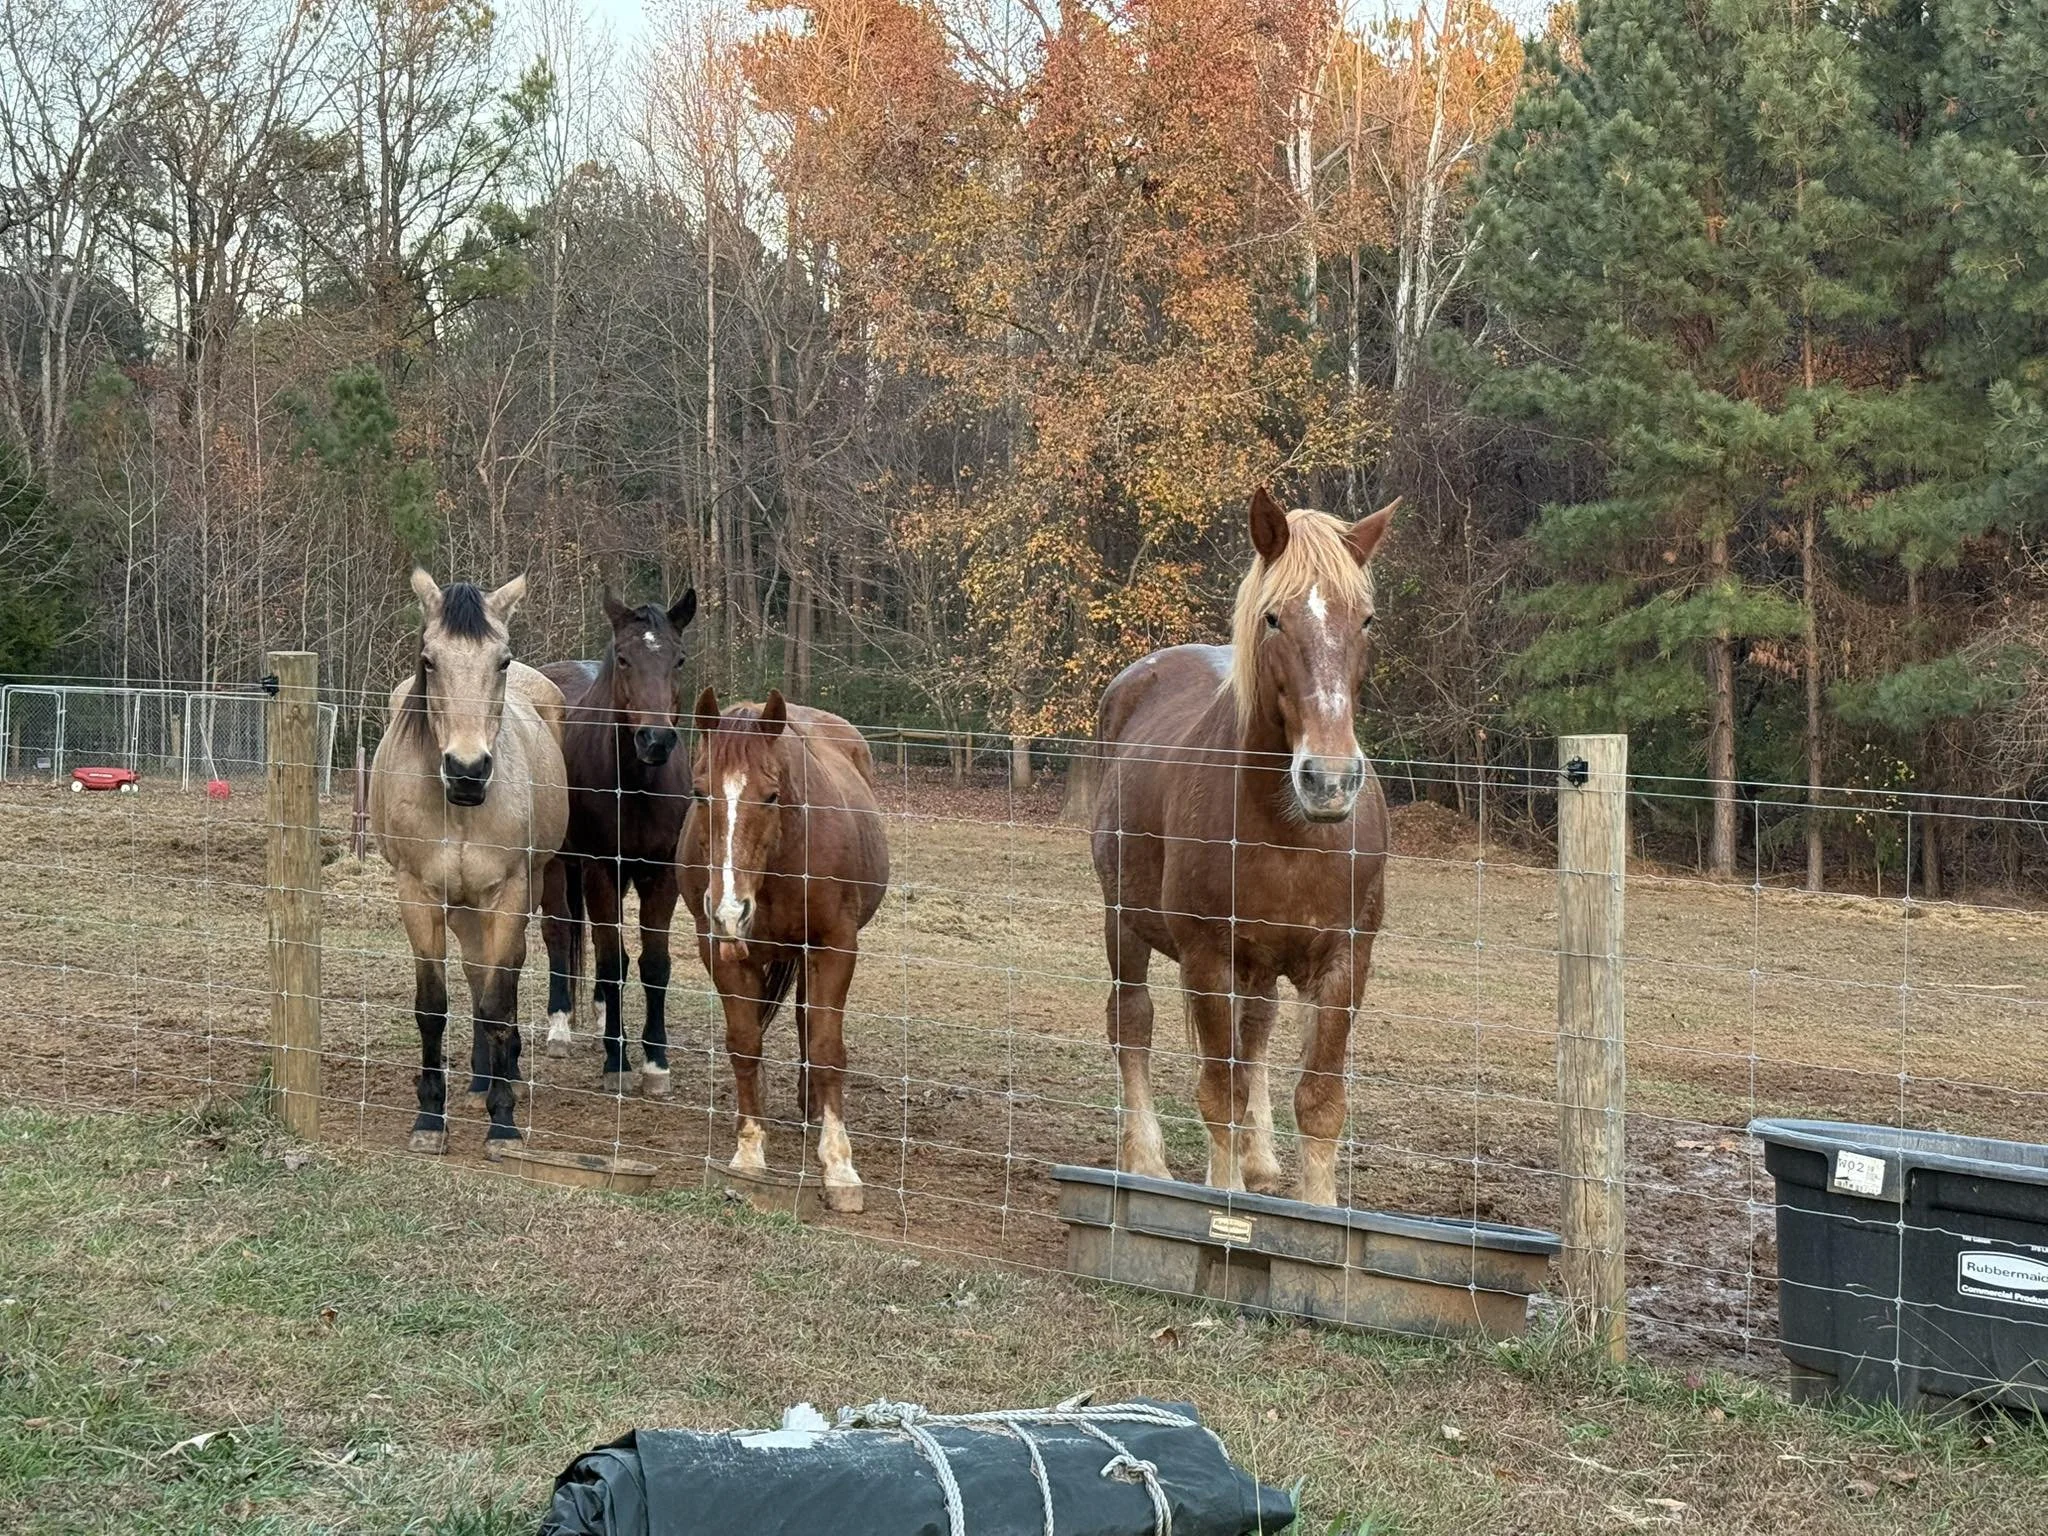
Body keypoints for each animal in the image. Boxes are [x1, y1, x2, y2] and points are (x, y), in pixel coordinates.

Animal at [369, 570, 569, 1157]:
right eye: (429, 659)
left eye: (501, 661)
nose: (466, 769)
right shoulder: (417, 893)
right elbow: (433, 1006)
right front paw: (429, 1119)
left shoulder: (508, 893)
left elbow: (499, 1002)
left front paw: (503, 1124)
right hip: (461, 907)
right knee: (475, 971)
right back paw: (481, 1082)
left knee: (497, 979)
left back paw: (502, 1081)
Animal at [538, 586, 697, 1095]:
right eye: (624, 658)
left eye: (679, 659)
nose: (655, 740)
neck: (636, 786)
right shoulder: (600, 868)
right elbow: (608, 960)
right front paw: (617, 1061)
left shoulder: (660, 874)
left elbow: (653, 965)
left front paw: (656, 1063)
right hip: (556, 865)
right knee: (558, 932)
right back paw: (560, 1027)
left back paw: (602, 1013)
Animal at [679, 688, 889, 1213]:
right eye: (699, 792)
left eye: (771, 795)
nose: (730, 908)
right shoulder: (720, 948)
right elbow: (745, 1043)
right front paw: (749, 1151)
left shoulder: (834, 947)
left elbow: (827, 1047)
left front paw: (839, 1168)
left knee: (806, 1021)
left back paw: (811, 1105)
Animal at [1091, 487, 1398, 1207]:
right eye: (1274, 618)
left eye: (1366, 620)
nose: (1329, 779)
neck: (1290, 833)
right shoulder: (1209, 959)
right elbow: (1219, 1092)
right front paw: (1219, 1198)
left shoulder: (1345, 963)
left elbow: (1319, 1099)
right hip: (1124, 923)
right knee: (1132, 1023)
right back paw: (1146, 1161)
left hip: (1260, 967)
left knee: (1254, 1034)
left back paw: (1259, 1163)